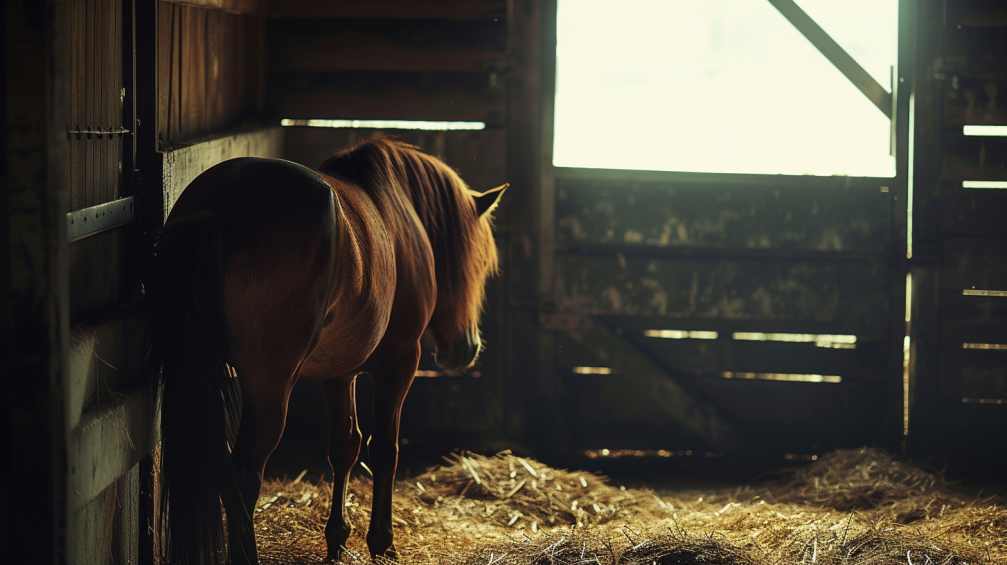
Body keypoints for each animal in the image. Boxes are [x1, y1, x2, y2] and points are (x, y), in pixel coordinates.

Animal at [141, 137, 503, 563]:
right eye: (474, 266)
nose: (467, 348)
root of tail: (222, 202)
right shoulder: (399, 362)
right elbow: (384, 449)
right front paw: (382, 542)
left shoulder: (339, 372)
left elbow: (344, 446)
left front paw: (338, 539)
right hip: (269, 388)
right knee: (244, 475)